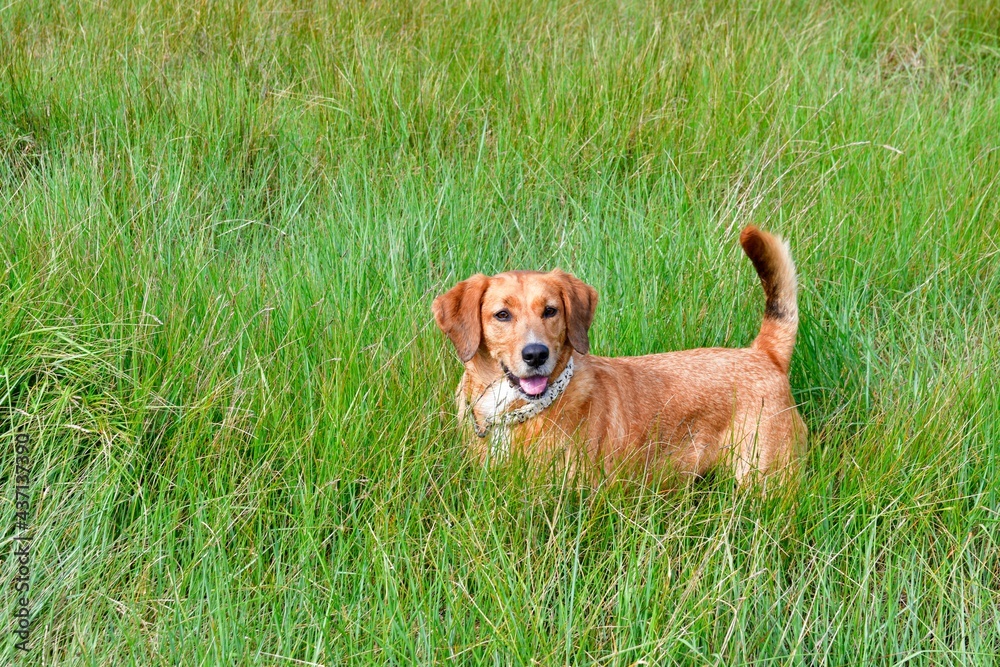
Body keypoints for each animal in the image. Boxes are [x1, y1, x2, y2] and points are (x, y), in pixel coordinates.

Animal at [430, 226, 804, 486]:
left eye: (550, 311)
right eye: (502, 315)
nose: (536, 354)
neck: (514, 411)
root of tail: (764, 353)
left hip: (763, 478)